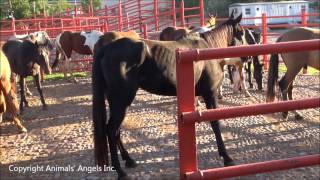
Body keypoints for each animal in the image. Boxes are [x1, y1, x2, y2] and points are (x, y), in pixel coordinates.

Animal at [92, 12, 245, 179]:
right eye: (241, 33)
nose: (246, 58)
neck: (208, 48)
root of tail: (107, 48)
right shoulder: (210, 94)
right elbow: (215, 123)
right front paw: (226, 157)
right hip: (122, 100)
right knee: (112, 129)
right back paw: (120, 171)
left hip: (117, 101)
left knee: (116, 130)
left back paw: (129, 160)